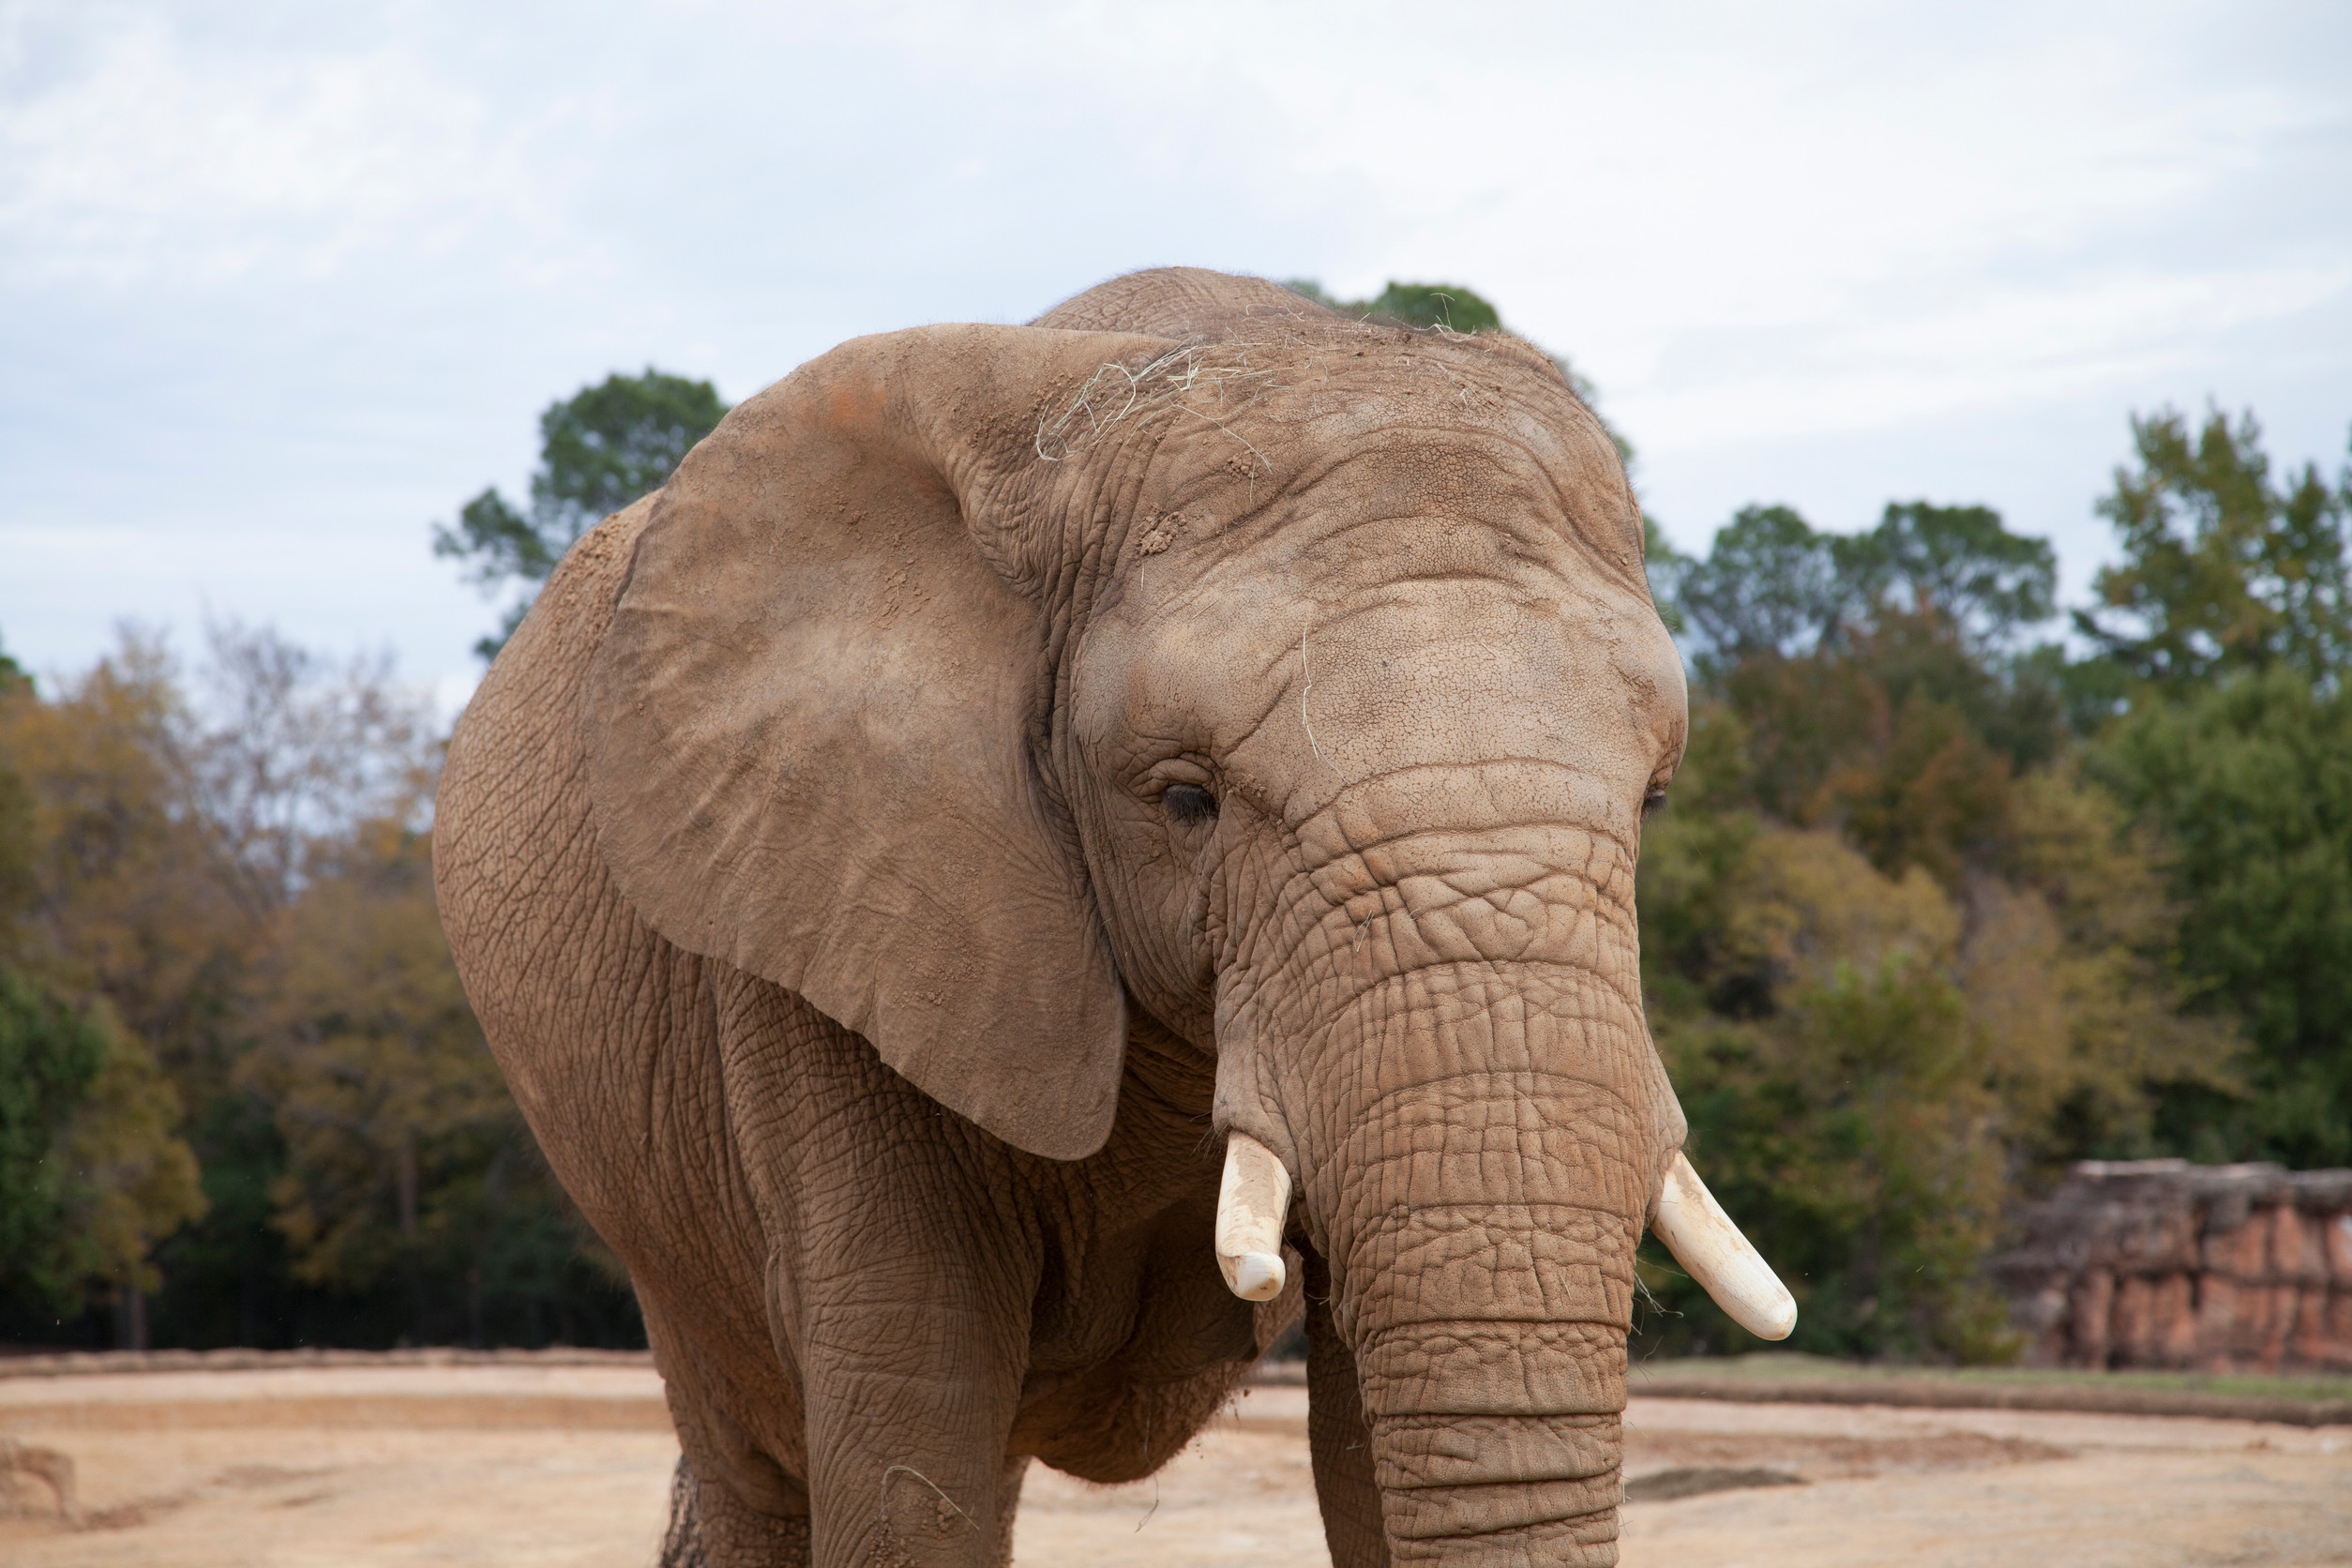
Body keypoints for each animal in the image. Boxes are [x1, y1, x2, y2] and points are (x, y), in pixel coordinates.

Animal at [433, 266, 1792, 1568]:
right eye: (1187, 797)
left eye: (1656, 797)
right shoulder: (818, 927)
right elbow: (909, 1464)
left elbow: (1367, 1455)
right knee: (773, 1469)